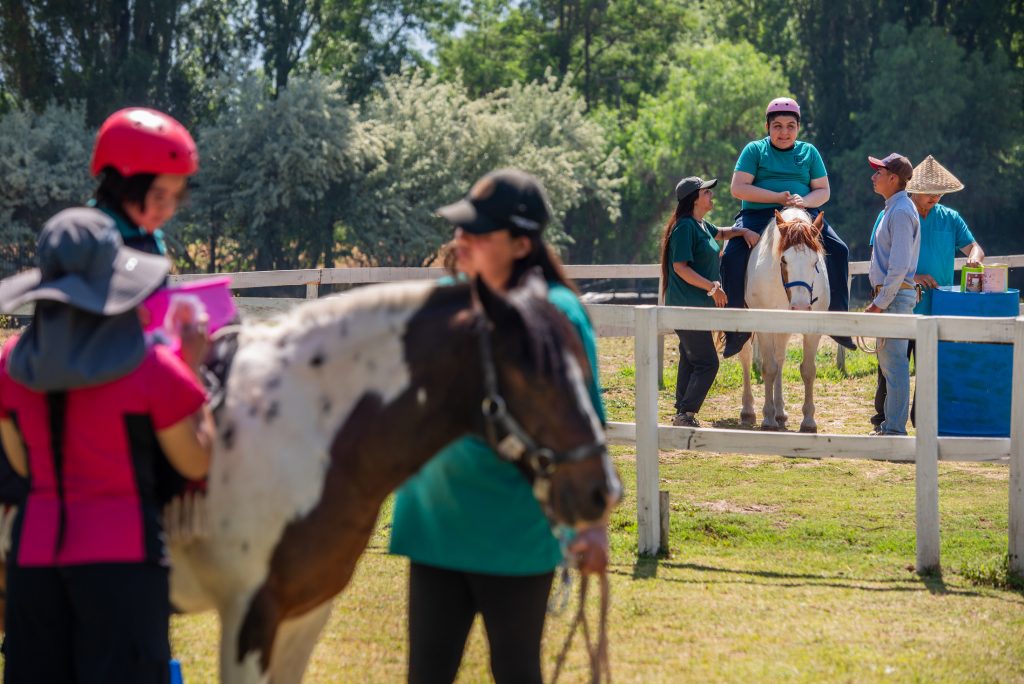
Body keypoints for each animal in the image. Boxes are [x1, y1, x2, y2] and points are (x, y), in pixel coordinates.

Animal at [166, 273, 622, 683]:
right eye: (537, 378)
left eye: (585, 369)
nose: (602, 491)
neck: (298, 429)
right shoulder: (250, 616)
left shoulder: (303, 613)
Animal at [737, 208, 829, 433]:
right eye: (784, 260)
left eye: (815, 262)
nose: (801, 307)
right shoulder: (762, 325)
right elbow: (768, 368)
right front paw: (768, 418)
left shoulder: (813, 331)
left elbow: (808, 370)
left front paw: (808, 421)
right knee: (746, 356)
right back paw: (748, 410)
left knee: (780, 358)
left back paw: (780, 413)